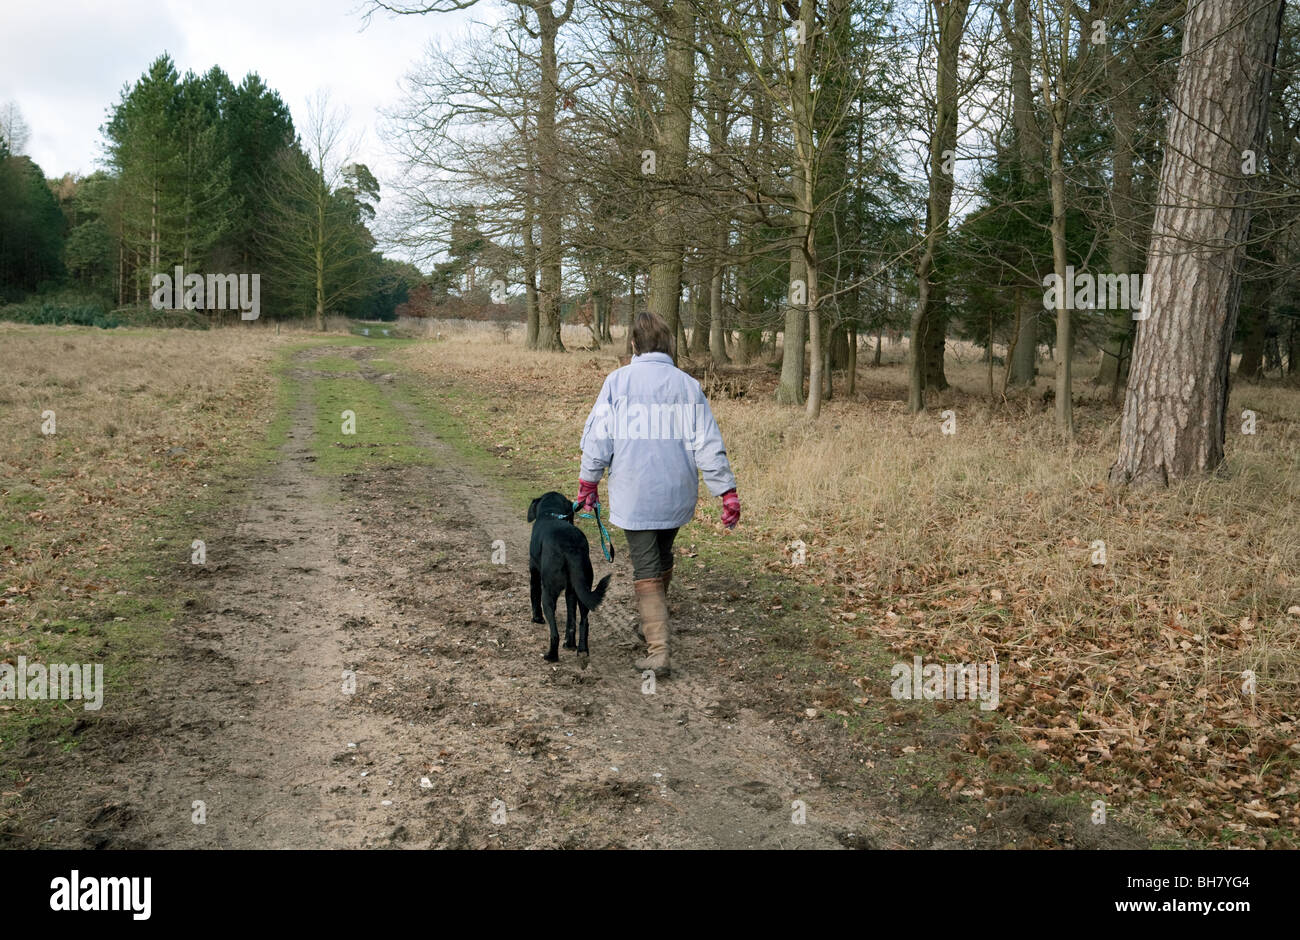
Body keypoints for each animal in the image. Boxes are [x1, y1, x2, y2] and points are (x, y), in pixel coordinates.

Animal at [525, 491, 611, 663]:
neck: (551, 512)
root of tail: (570, 547)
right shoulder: (570, 591)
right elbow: (571, 619)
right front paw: (570, 644)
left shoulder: (534, 573)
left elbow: (534, 596)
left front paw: (536, 618)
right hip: (583, 588)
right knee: (583, 621)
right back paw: (580, 649)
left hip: (549, 592)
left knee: (554, 633)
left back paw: (551, 656)